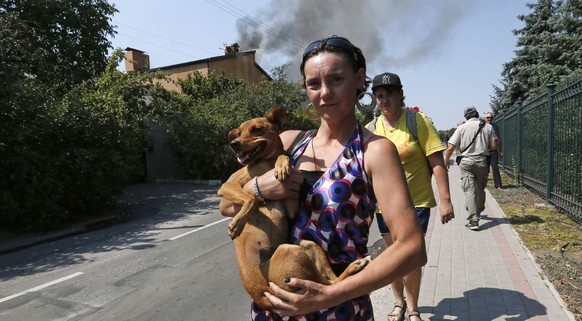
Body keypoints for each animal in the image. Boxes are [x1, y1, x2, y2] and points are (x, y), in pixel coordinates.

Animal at [217, 107, 372, 308]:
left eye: (257, 129)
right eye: (239, 132)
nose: (233, 144)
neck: (266, 162)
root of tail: (263, 297)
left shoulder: (289, 202)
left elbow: (281, 159)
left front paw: (283, 165)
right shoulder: (226, 186)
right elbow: (250, 198)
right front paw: (236, 225)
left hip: (302, 246)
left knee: (329, 282)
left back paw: (355, 266)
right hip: (291, 250)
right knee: (327, 283)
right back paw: (355, 266)